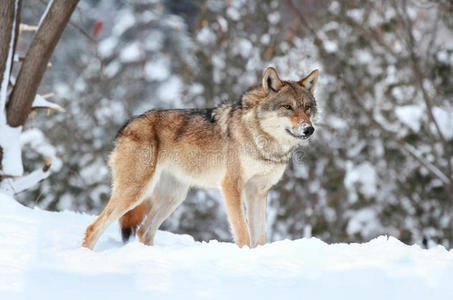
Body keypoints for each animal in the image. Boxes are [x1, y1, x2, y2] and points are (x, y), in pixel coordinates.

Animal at [83, 67, 320, 250]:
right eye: (288, 107)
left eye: (307, 108)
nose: (309, 129)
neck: (264, 143)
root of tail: (126, 125)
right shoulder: (231, 187)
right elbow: (243, 233)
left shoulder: (258, 192)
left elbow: (259, 237)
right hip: (136, 192)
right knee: (93, 227)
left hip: (174, 197)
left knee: (144, 232)